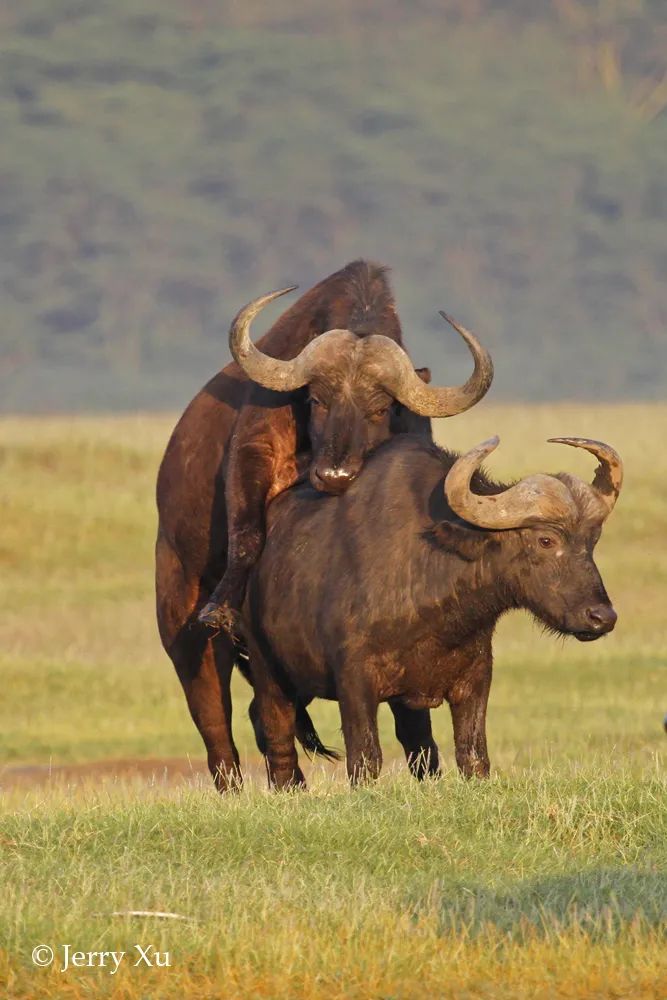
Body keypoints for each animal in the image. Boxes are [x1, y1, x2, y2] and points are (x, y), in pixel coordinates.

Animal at [154, 262, 494, 792]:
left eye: (381, 408)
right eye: (316, 400)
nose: (334, 476)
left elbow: (411, 715)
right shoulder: (254, 451)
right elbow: (247, 533)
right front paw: (224, 604)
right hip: (179, 616)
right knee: (215, 718)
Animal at [243, 434, 624, 784]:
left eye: (592, 541)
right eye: (545, 540)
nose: (601, 617)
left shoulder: (475, 679)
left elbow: (473, 756)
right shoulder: (354, 682)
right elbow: (365, 759)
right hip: (268, 672)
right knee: (275, 733)